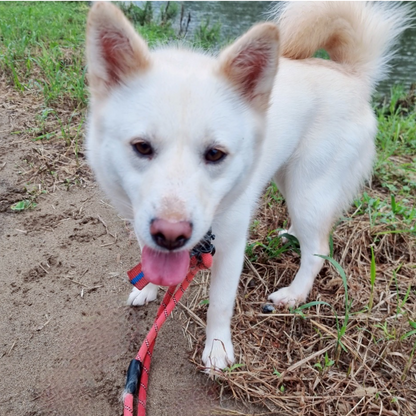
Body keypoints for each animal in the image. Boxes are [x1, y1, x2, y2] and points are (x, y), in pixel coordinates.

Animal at [86, 0, 412, 370]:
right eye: (142, 147)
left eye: (215, 154)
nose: (171, 234)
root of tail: (351, 74)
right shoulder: (145, 223)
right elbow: (154, 264)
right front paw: (149, 289)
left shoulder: (229, 248)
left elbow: (219, 304)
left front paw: (216, 349)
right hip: (287, 179)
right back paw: (289, 236)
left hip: (308, 192)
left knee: (318, 250)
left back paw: (293, 294)